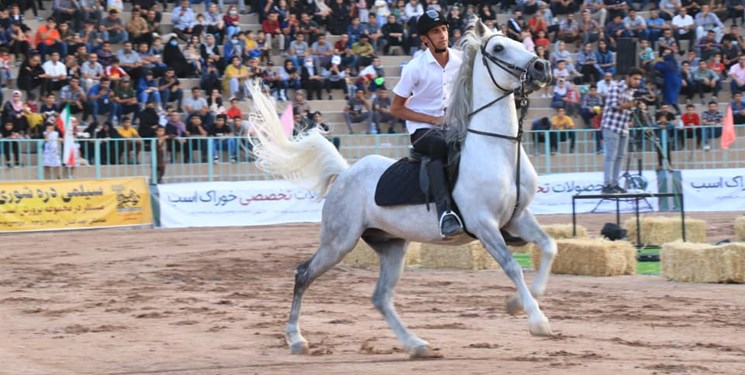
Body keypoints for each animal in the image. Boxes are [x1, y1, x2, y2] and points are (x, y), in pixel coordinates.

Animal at [247, 21, 556, 362]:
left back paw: (416, 344)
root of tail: (345, 173)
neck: (496, 147)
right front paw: (537, 320)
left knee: (380, 297)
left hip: (392, 245)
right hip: (338, 242)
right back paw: (296, 339)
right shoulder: (484, 225)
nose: (542, 66)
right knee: (303, 274)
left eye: (518, 41)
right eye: (499, 48)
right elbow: (512, 266)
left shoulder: (516, 217)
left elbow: (549, 247)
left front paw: (517, 304)